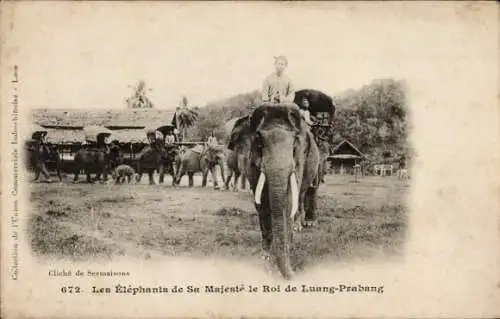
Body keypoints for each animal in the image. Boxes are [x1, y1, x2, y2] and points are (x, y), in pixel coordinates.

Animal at [229, 104, 320, 280]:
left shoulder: (299, 159)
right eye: (259, 142)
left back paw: (304, 224)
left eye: (294, 144)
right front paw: (266, 255)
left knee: (308, 190)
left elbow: (289, 200)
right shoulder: (251, 162)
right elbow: (261, 203)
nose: (293, 273)